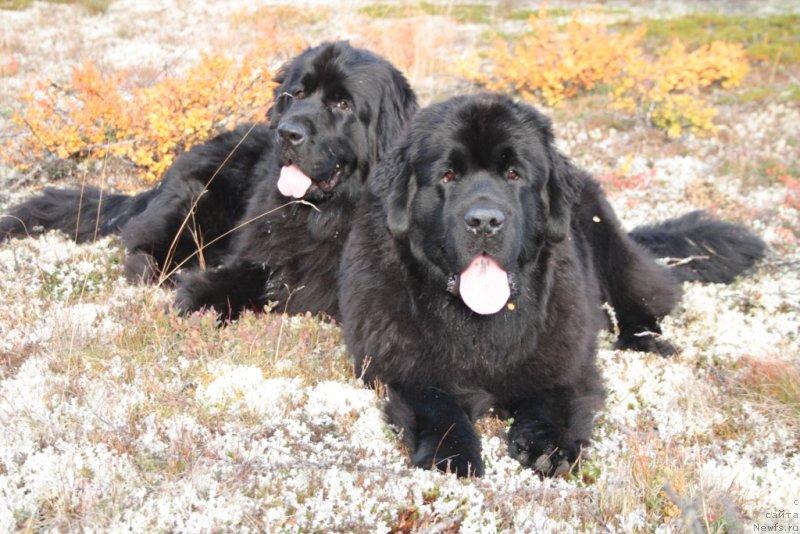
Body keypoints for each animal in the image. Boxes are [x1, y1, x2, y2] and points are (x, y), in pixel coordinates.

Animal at [338, 93, 764, 482]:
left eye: (514, 174)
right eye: (448, 176)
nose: (485, 221)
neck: (481, 321)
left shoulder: (564, 354)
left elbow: (552, 396)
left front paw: (549, 446)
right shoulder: (398, 363)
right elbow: (436, 403)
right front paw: (452, 453)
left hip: (608, 242)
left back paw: (648, 339)